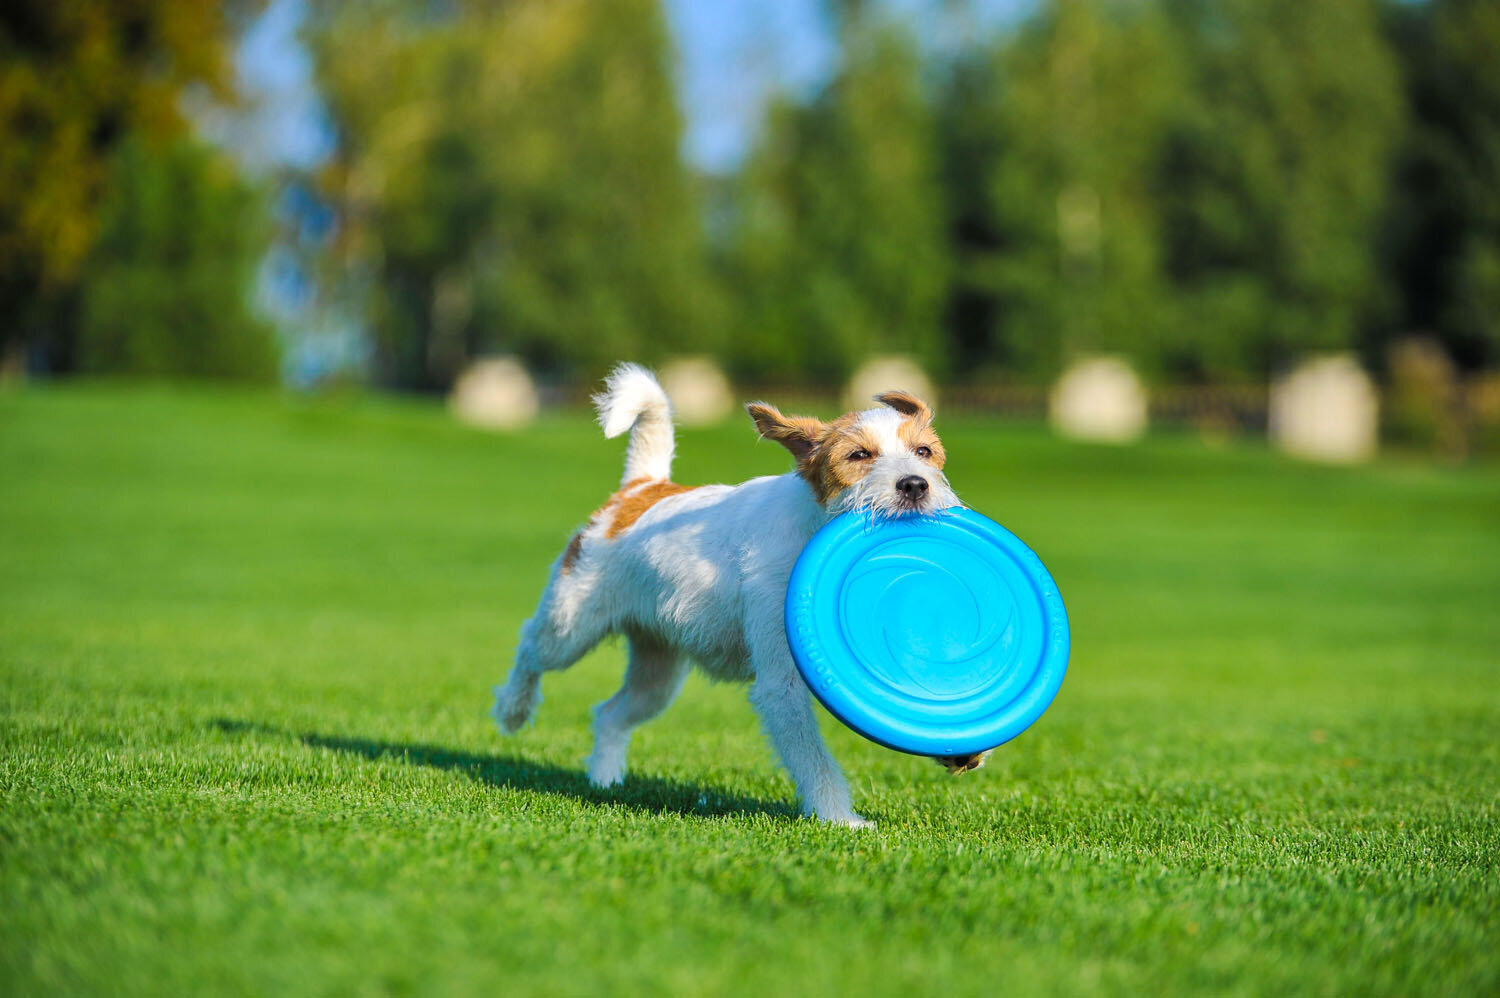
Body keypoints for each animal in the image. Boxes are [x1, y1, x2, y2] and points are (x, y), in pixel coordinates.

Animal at [489, 361, 984, 822]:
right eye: (858, 454)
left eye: (924, 451)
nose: (915, 484)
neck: (811, 523)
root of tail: (641, 489)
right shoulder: (782, 683)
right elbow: (814, 761)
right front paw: (840, 820)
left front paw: (964, 747)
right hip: (571, 626)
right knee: (531, 645)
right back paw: (514, 709)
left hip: (657, 674)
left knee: (610, 713)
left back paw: (605, 779)